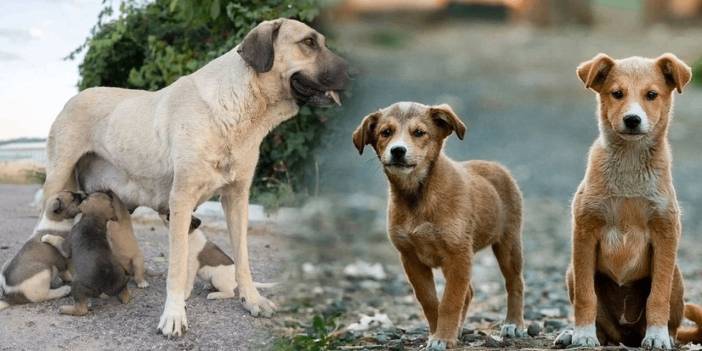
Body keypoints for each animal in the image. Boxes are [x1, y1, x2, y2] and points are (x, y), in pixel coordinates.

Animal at [37, 17, 350, 336]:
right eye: (308, 42)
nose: (353, 73)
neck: (235, 109)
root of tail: (73, 98)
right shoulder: (181, 199)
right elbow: (177, 268)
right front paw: (174, 315)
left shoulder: (237, 198)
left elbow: (243, 258)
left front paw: (251, 299)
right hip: (59, 179)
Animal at [354, 101, 524, 350]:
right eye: (386, 132)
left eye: (419, 132)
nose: (398, 150)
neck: (418, 196)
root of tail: (496, 166)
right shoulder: (411, 258)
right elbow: (430, 301)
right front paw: (438, 333)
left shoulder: (458, 255)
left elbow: (450, 301)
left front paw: (443, 337)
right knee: (469, 292)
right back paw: (460, 329)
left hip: (508, 244)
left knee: (515, 282)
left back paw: (514, 323)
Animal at [556, 53, 702, 350]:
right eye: (617, 93)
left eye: (652, 95)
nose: (632, 119)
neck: (630, 164)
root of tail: (626, 335)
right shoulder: (584, 232)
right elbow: (586, 297)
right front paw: (583, 334)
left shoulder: (666, 233)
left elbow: (657, 296)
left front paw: (657, 336)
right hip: (571, 273)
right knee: (603, 328)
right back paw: (573, 334)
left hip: (677, 276)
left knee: (670, 318)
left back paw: (665, 336)